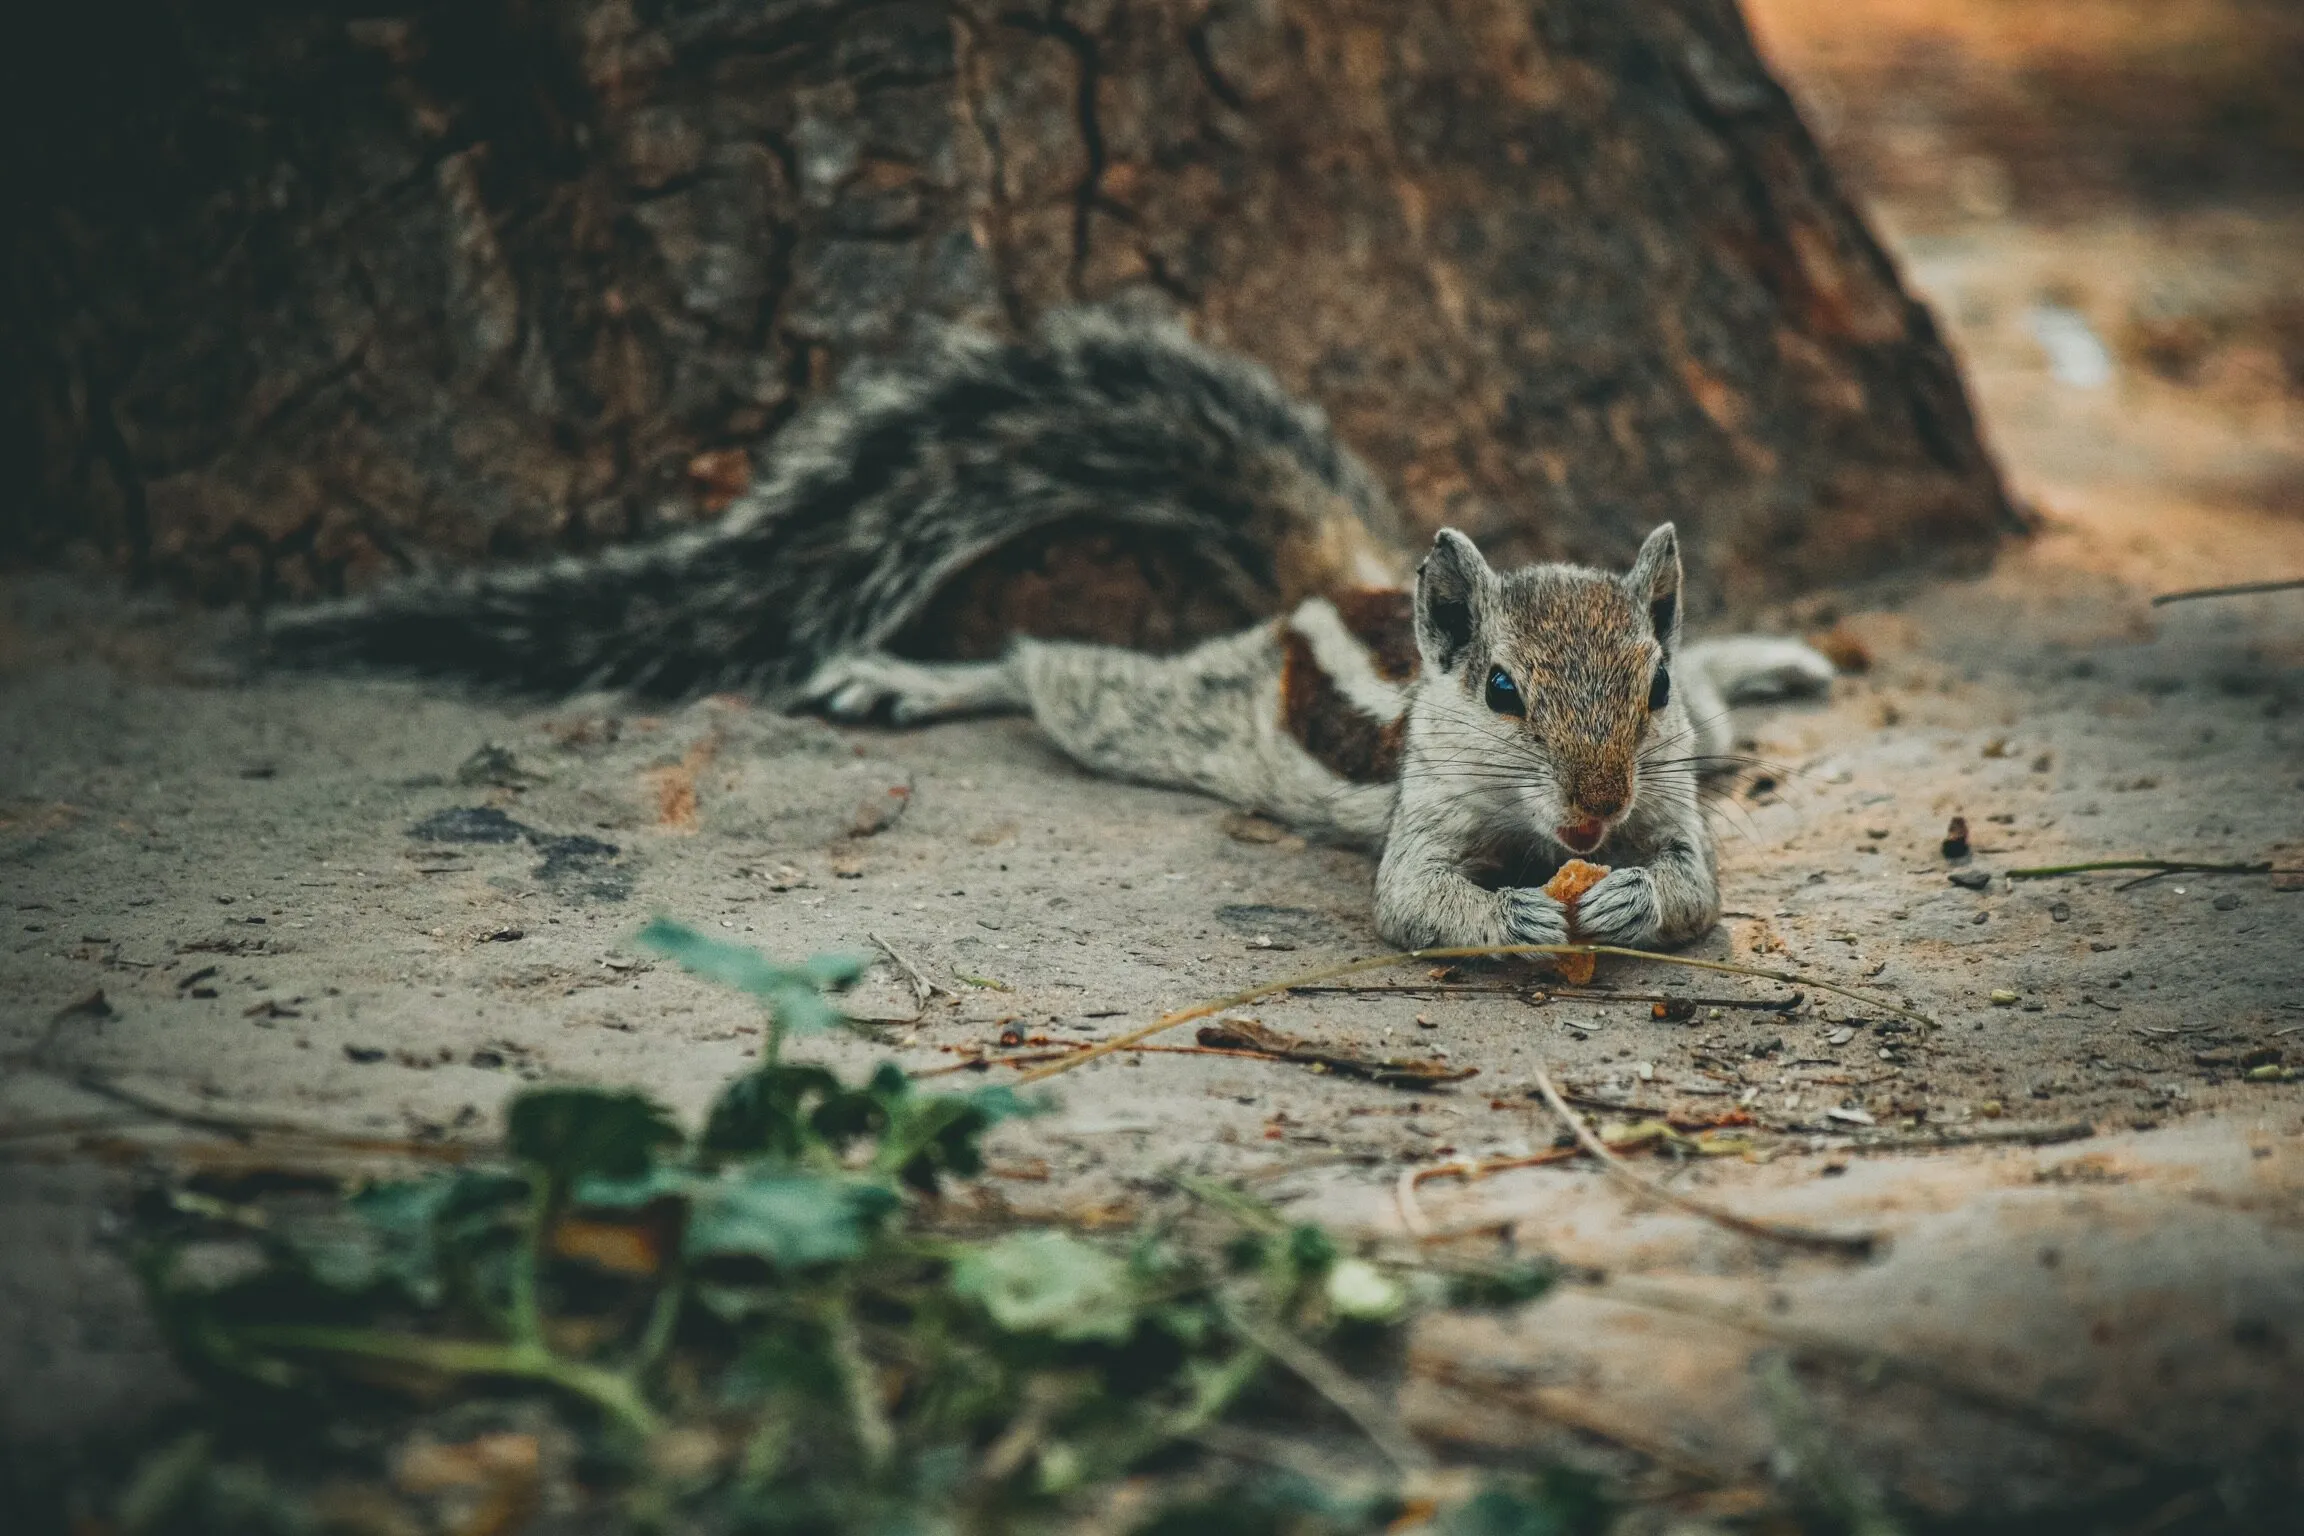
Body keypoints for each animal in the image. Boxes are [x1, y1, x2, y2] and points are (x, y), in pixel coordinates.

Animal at [264, 306, 1834, 954]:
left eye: (1643, 689)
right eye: (1502, 693)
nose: (1591, 816)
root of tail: (1343, 583)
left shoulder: (1673, 790)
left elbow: (1698, 888)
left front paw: (1628, 897)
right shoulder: (1424, 812)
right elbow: (1409, 904)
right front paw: (1501, 914)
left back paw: (1765, 663)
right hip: (1172, 714)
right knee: (1053, 676)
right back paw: (928, 678)